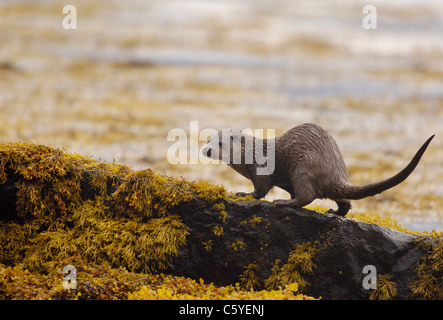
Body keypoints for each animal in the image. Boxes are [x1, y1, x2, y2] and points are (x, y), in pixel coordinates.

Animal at [203, 124, 436, 216]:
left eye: (220, 143)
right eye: (208, 139)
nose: (206, 150)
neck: (251, 155)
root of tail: (335, 172)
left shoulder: (261, 170)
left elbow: (260, 190)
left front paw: (243, 193)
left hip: (304, 167)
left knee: (306, 196)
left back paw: (283, 202)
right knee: (345, 202)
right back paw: (334, 212)